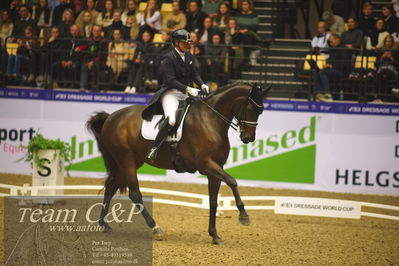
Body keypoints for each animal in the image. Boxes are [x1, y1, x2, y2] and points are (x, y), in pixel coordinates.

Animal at [86, 82, 270, 244]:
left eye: (261, 111)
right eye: (251, 108)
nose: (248, 138)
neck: (210, 120)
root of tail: (111, 117)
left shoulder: (215, 169)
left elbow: (213, 201)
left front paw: (214, 235)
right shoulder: (206, 164)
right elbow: (232, 181)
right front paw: (243, 215)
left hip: (130, 162)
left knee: (111, 186)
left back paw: (104, 224)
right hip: (126, 161)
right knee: (134, 193)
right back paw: (155, 228)